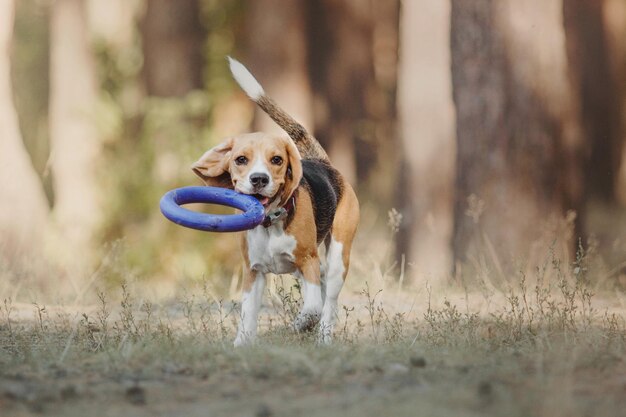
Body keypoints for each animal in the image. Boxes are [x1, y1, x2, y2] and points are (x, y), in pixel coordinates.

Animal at [190, 58, 358, 344]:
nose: (259, 179)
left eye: (277, 159)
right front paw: (241, 344)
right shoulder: (253, 272)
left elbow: (313, 308)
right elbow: (247, 316)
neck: (271, 222)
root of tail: (324, 163)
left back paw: (322, 338)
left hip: (337, 255)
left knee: (328, 302)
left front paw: (299, 325)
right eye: (241, 159)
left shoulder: (308, 261)